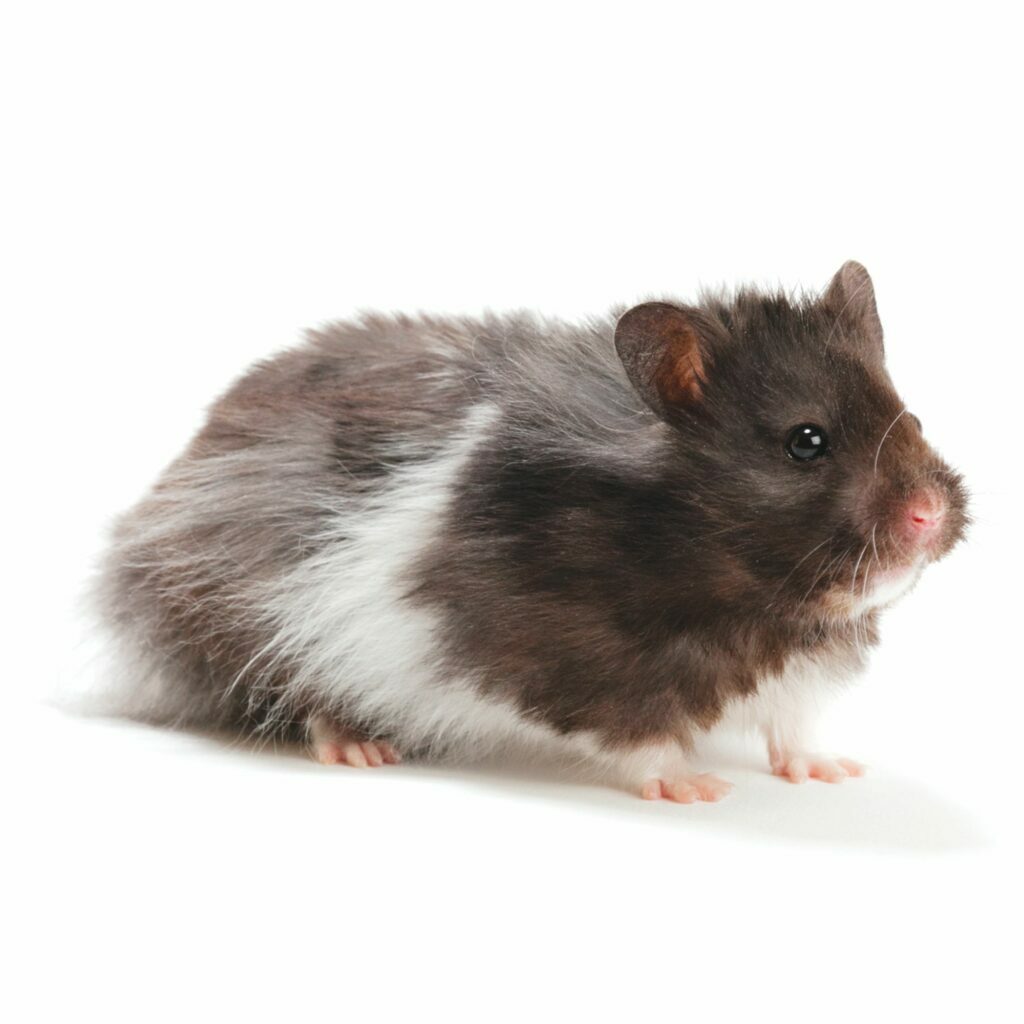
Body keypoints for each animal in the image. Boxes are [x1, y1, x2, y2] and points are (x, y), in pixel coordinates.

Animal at [93, 262, 968, 801]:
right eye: (805, 442)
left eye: (914, 417)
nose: (929, 516)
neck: (760, 601)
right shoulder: (576, 664)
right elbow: (640, 735)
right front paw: (697, 788)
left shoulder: (799, 667)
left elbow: (792, 724)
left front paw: (833, 773)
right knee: (300, 691)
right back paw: (361, 748)